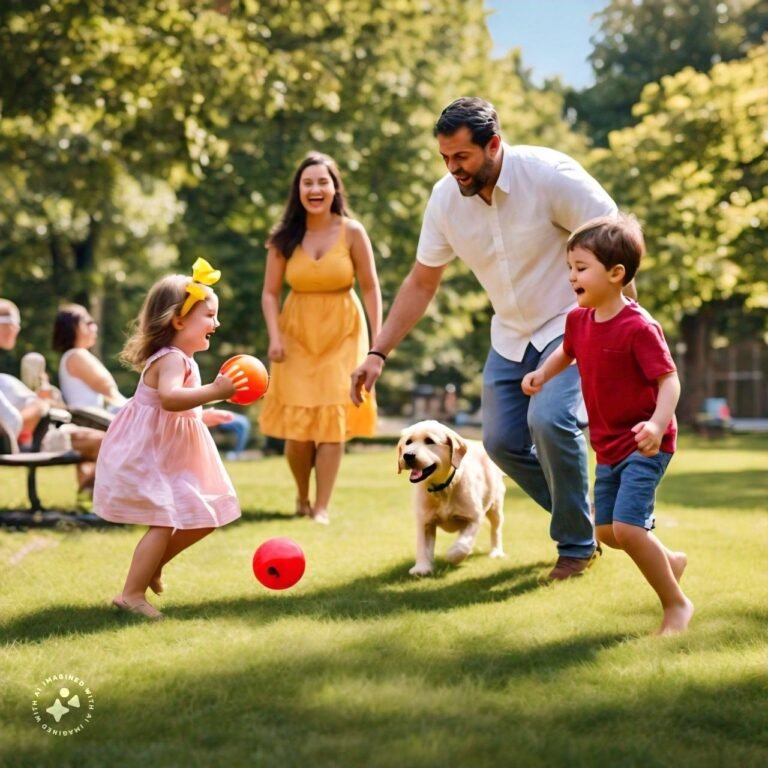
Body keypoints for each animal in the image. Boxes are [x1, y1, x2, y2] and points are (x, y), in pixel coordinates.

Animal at [400, 420, 508, 576]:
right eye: (408, 442)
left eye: (429, 441)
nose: (408, 455)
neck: (443, 489)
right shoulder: (425, 521)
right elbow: (422, 545)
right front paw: (422, 567)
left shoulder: (474, 517)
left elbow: (463, 544)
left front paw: (453, 555)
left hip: (495, 506)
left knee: (496, 529)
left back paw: (496, 551)